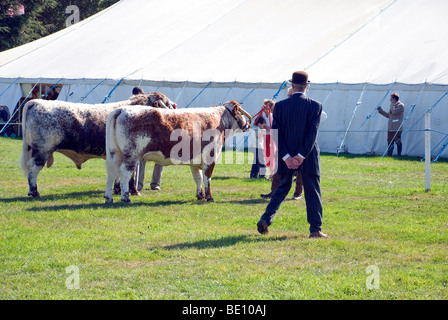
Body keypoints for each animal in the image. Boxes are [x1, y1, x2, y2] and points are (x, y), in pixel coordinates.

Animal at [19, 92, 177, 198]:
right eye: (168, 104)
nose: (175, 108)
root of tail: (37, 102)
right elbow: (131, 175)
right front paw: (133, 191)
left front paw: (118, 189)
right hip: (41, 151)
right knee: (33, 171)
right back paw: (35, 192)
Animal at [104, 101, 252, 204]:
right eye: (240, 113)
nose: (248, 125)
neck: (219, 120)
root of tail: (121, 109)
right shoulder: (210, 156)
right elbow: (207, 177)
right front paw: (209, 197)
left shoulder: (195, 160)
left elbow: (198, 178)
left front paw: (200, 195)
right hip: (132, 155)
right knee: (124, 172)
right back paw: (125, 198)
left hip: (114, 153)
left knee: (111, 172)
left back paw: (108, 197)